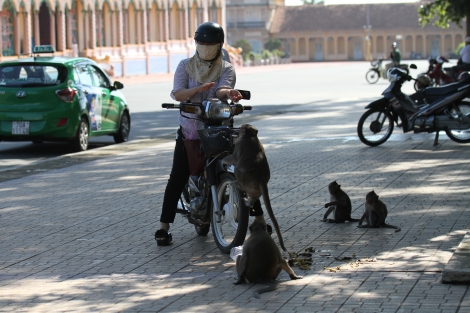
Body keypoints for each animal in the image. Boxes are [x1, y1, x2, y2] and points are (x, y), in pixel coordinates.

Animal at [222, 123, 288, 251]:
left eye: (241, 129)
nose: (236, 132)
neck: (251, 136)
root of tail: (261, 178)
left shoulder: (239, 144)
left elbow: (233, 158)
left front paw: (223, 160)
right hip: (254, 186)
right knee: (255, 195)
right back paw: (249, 202)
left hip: (245, 180)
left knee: (237, 169)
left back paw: (237, 184)